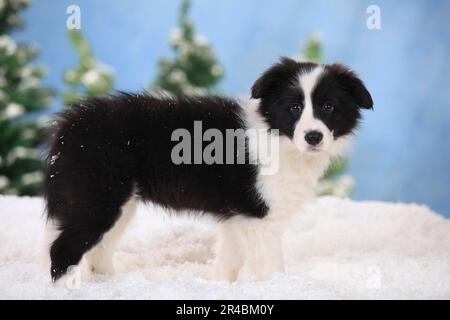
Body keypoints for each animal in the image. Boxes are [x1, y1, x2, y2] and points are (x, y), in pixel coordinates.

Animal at [44, 57, 372, 282]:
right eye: (294, 107)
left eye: (328, 106)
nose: (313, 137)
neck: (277, 137)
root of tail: (69, 125)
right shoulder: (260, 217)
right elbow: (271, 265)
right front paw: (280, 286)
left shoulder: (237, 216)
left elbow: (229, 260)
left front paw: (219, 285)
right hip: (98, 198)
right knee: (63, 250)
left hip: (119, 204)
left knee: (97, 252)